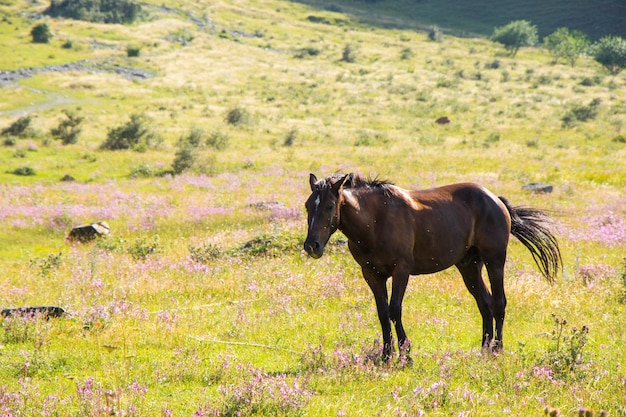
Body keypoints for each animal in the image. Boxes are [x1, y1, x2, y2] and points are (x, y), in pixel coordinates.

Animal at [304, 171, 560, 360]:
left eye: (329, 205)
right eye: (308, 206)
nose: (311, 246)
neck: (376, 221)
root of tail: (496, 200)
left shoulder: (401, 270)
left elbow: (394, 309)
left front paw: (406, 354)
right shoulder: (372, 274)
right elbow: (382, 313)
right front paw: (386, 356)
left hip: (494, 261)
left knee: (499, 302)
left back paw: (497, 349)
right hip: (469, 266)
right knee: (485, 303)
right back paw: (484, 349)